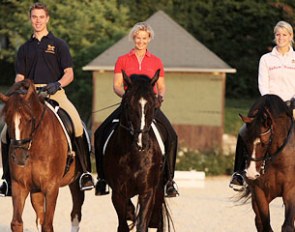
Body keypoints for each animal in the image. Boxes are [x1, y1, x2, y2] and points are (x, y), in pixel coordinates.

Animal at [0, 80, 85, 232]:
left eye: (29, 119)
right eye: (7, 120)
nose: (19, 157)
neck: (34, 148)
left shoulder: (51, 187)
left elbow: (47, 225)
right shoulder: (19, 185)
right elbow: (17, 223)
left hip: (76, 182)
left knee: (75, 213)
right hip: (36, 190)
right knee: (40, 215)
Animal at [99, 71, 173, 232]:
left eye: (153, 105)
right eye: (128, 104)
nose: (141, 142)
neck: (134, 155)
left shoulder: (148, 192)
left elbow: (142, 225)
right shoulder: (118, 193)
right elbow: (123, 223)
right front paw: (130, 215)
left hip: (159, 190)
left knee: (158, 221)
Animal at [239, 94, 295, 232]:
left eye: (264, 143)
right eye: (245, 141)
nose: (251, 173)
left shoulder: (291, 189)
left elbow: (288, 225)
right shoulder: (259, 191)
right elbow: (265, 224)